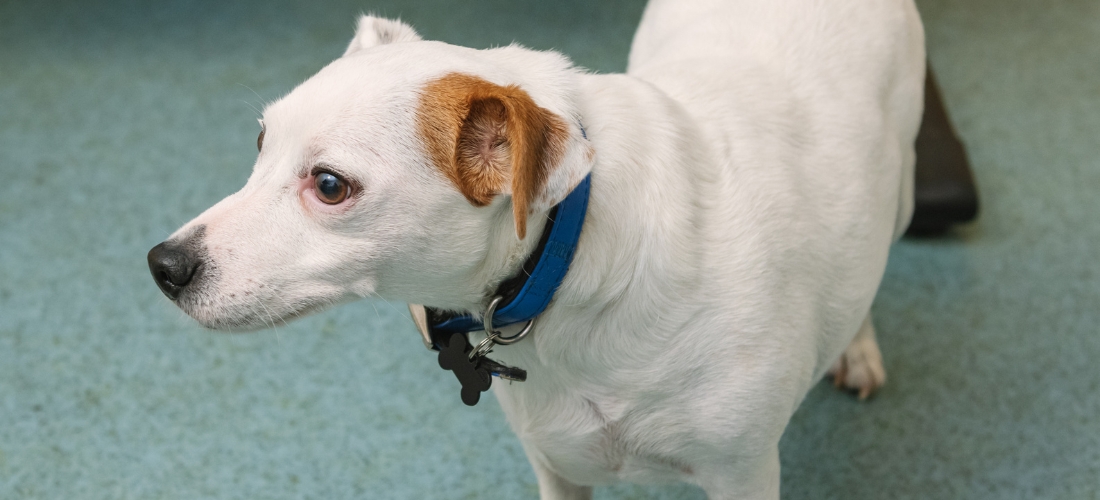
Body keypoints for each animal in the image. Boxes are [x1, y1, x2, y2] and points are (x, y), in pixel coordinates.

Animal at [148, 1, 924, 497]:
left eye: (331, 185)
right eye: (260, 144)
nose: (163, 266)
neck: (571, 267)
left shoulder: (743, 474)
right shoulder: (558, 465)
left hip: (902, 192)